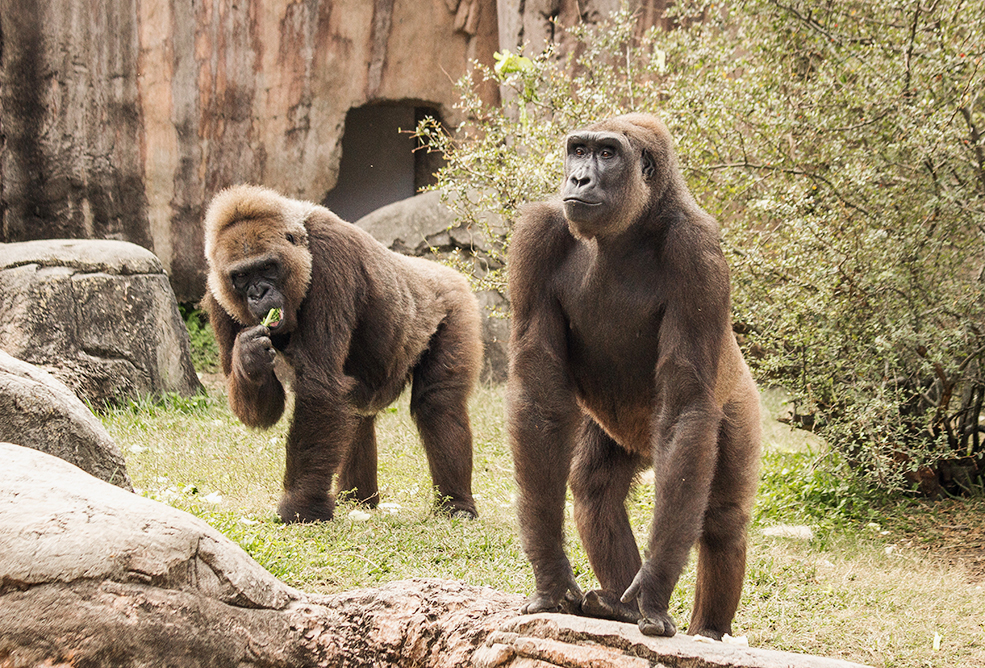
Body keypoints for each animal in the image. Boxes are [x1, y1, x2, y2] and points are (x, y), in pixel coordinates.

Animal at [203, 185, 480, 524]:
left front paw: (300, 505)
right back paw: (357, 499)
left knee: (439, 404)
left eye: (268, 267)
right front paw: (249, 359)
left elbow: (320, 388)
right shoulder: (217, 290)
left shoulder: (329, 257)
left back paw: (457, 504)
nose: (259, 294)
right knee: (356, 412)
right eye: (241, 277)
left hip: (456, 302)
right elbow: (266, 408)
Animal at [508, 112, 760, 640]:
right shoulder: (536, 235)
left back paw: (709, 631)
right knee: (594, 485)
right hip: (616, 434)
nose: (579, 179)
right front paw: (551, 575)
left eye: (607, 154)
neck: (631, 228)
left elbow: (685, 405)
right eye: (578, 150)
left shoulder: (697, 252)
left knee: (723, 518)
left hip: (739, 403)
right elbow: (540, 400)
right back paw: (617, 607)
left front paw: (654, 586)